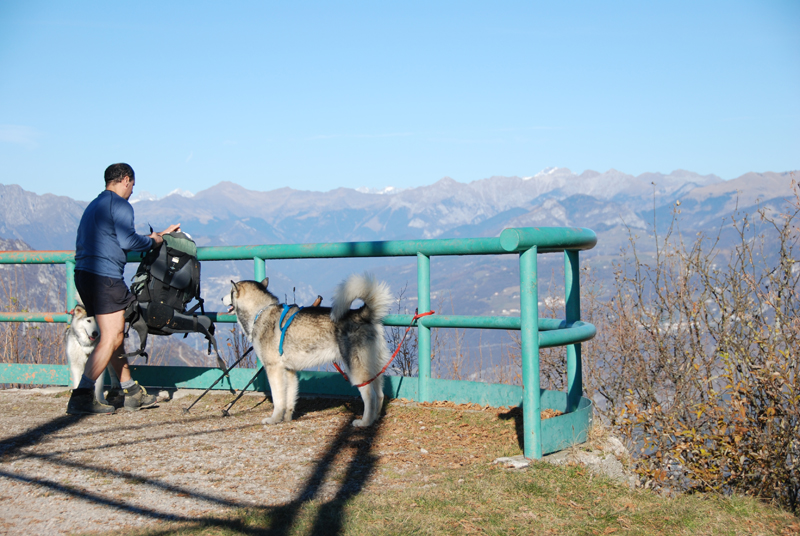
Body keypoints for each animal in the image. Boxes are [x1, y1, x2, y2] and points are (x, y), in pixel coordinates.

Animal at [223, 272, 392, 428]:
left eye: (230, 291)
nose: (221, 299)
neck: (261, 311)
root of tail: (360, 314)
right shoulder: (289, 371)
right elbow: (289, 399)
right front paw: (286, 418)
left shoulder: (273, 369)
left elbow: (278, 400)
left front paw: (274, 419)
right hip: (373, 368)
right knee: (380, 394)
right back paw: (375, 419)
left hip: (356, 371)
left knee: (371, 396)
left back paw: (365, 422)